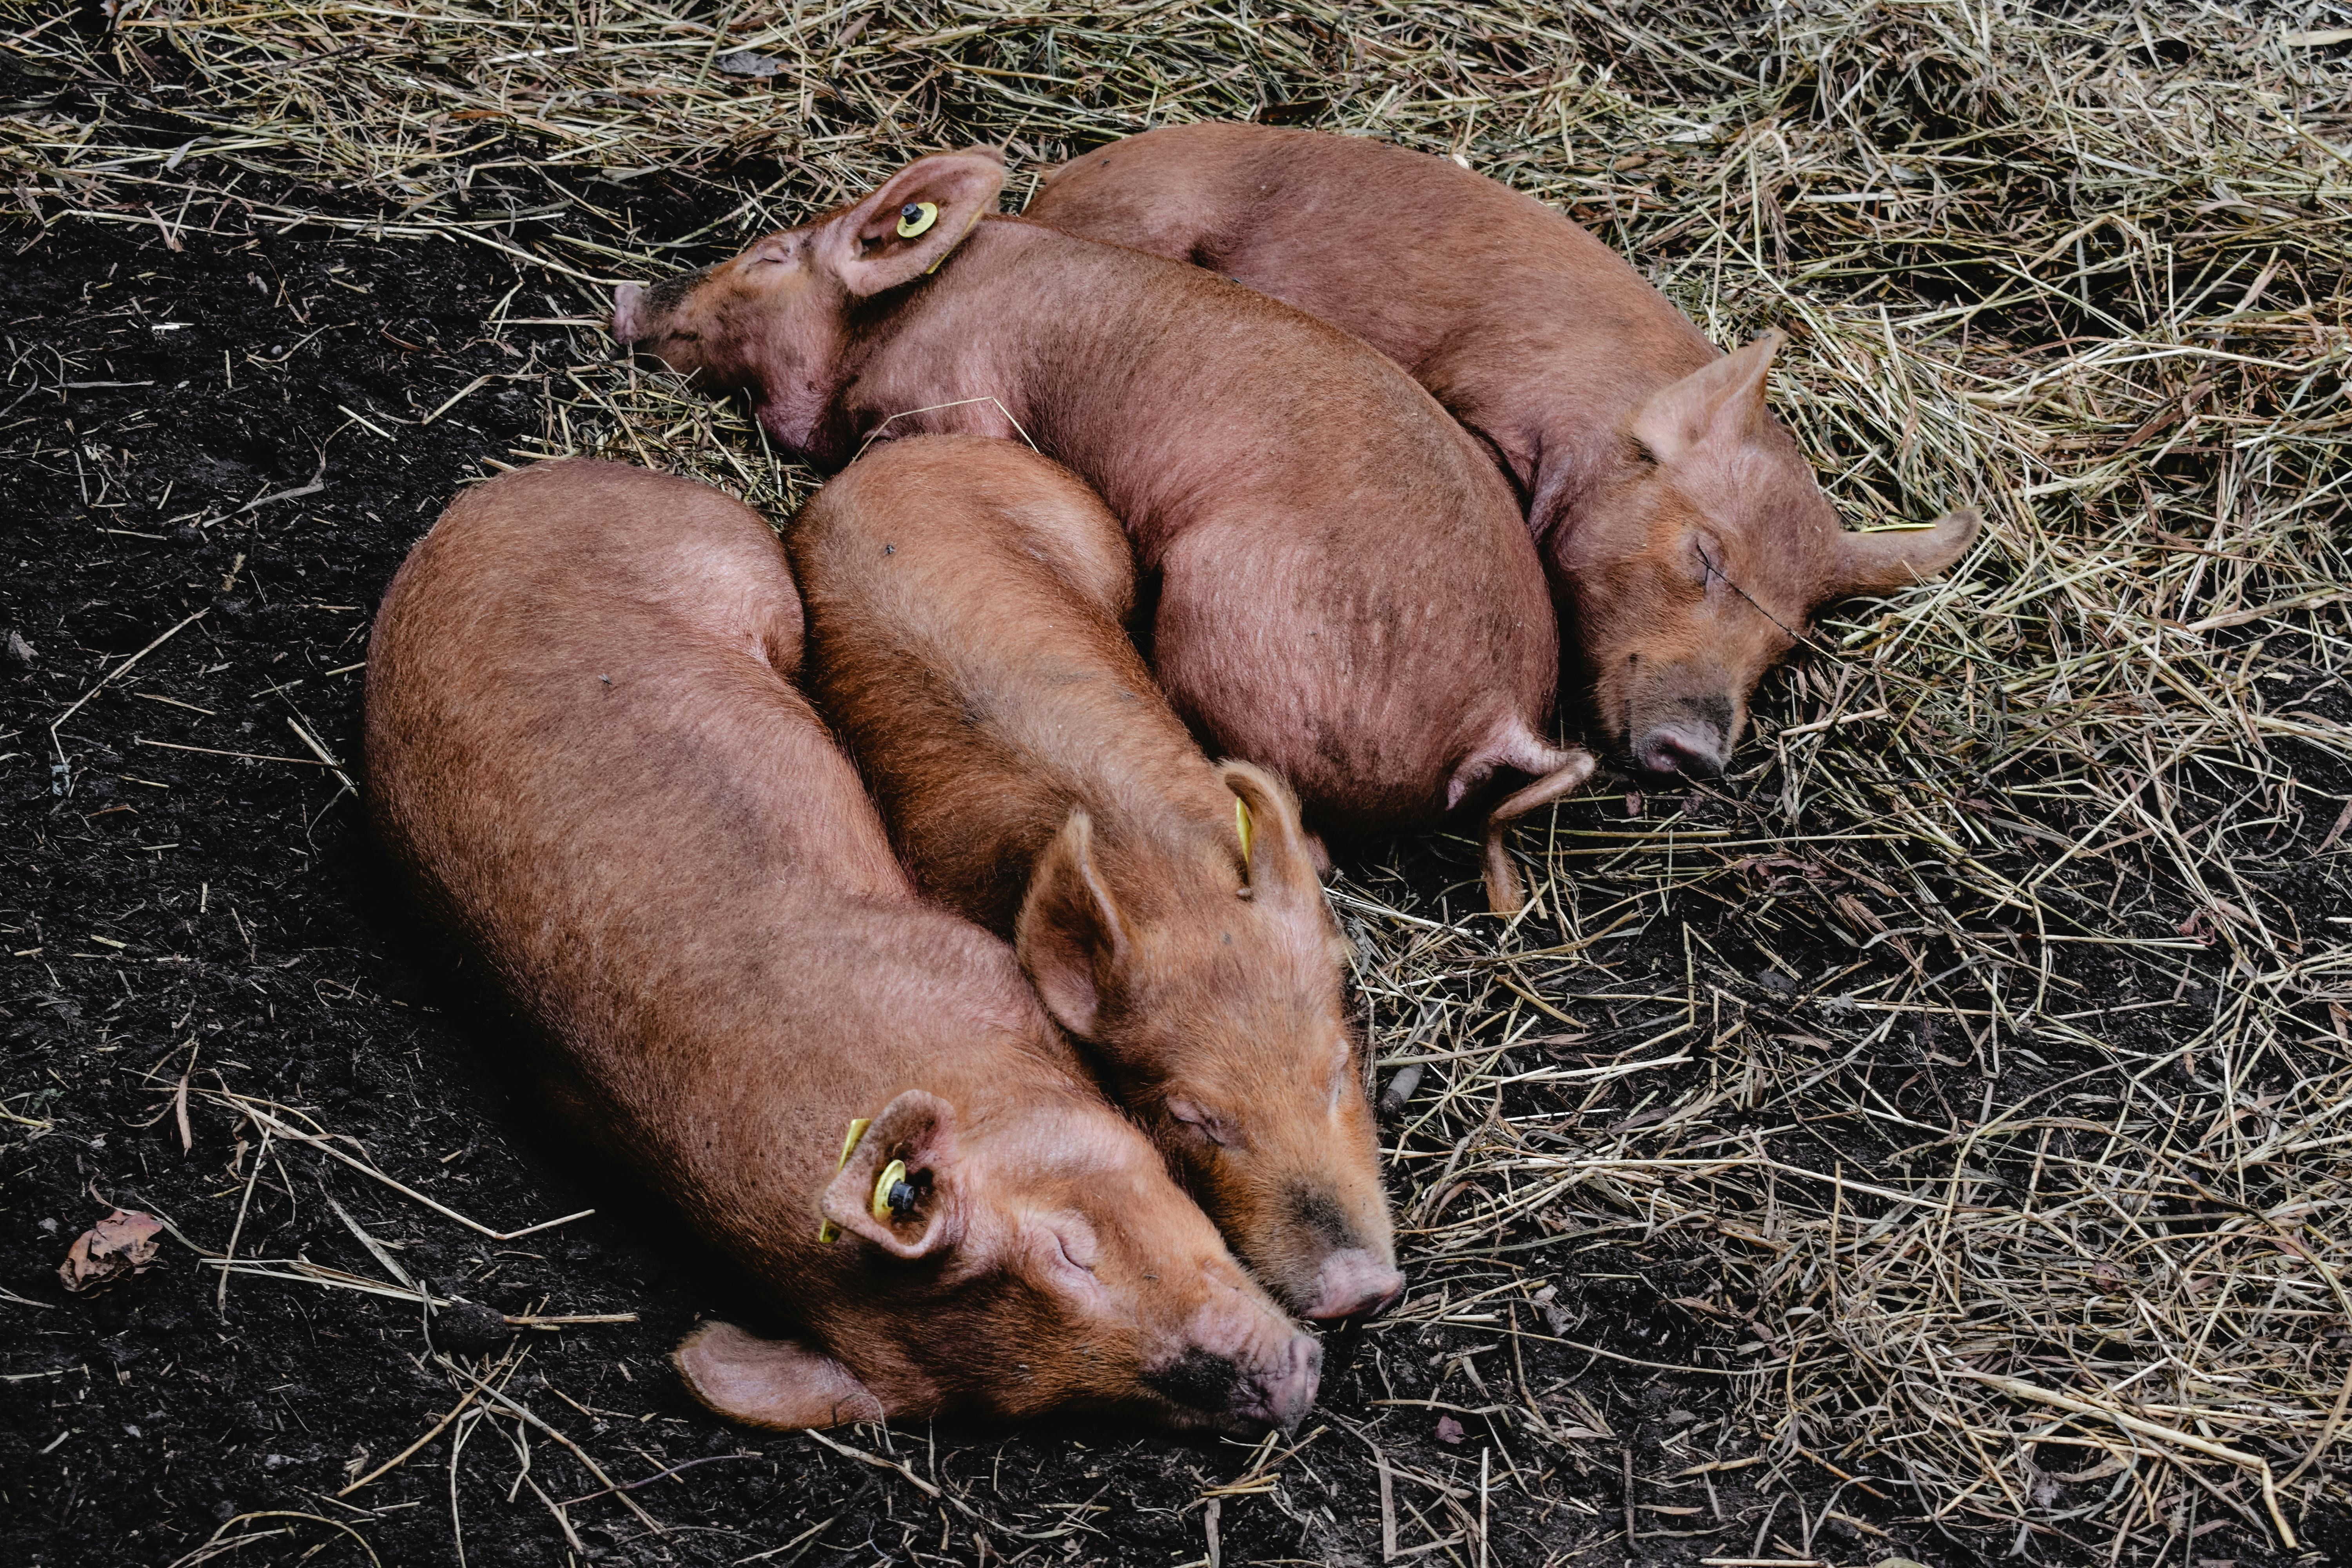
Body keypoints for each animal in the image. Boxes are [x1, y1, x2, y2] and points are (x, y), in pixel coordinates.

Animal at [367, 456, 1327, 1439]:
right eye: (1044, 1400)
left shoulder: (972, 960)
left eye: (1070, 1248)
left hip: (743, 567)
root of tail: (488, 497)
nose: (1285, 1390)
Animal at [607, 147, 1599, 912]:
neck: (883, 329)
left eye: (773, 255)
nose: (623, 294)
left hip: (1233, 619)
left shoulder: (958, 399)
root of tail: (1503, 712)